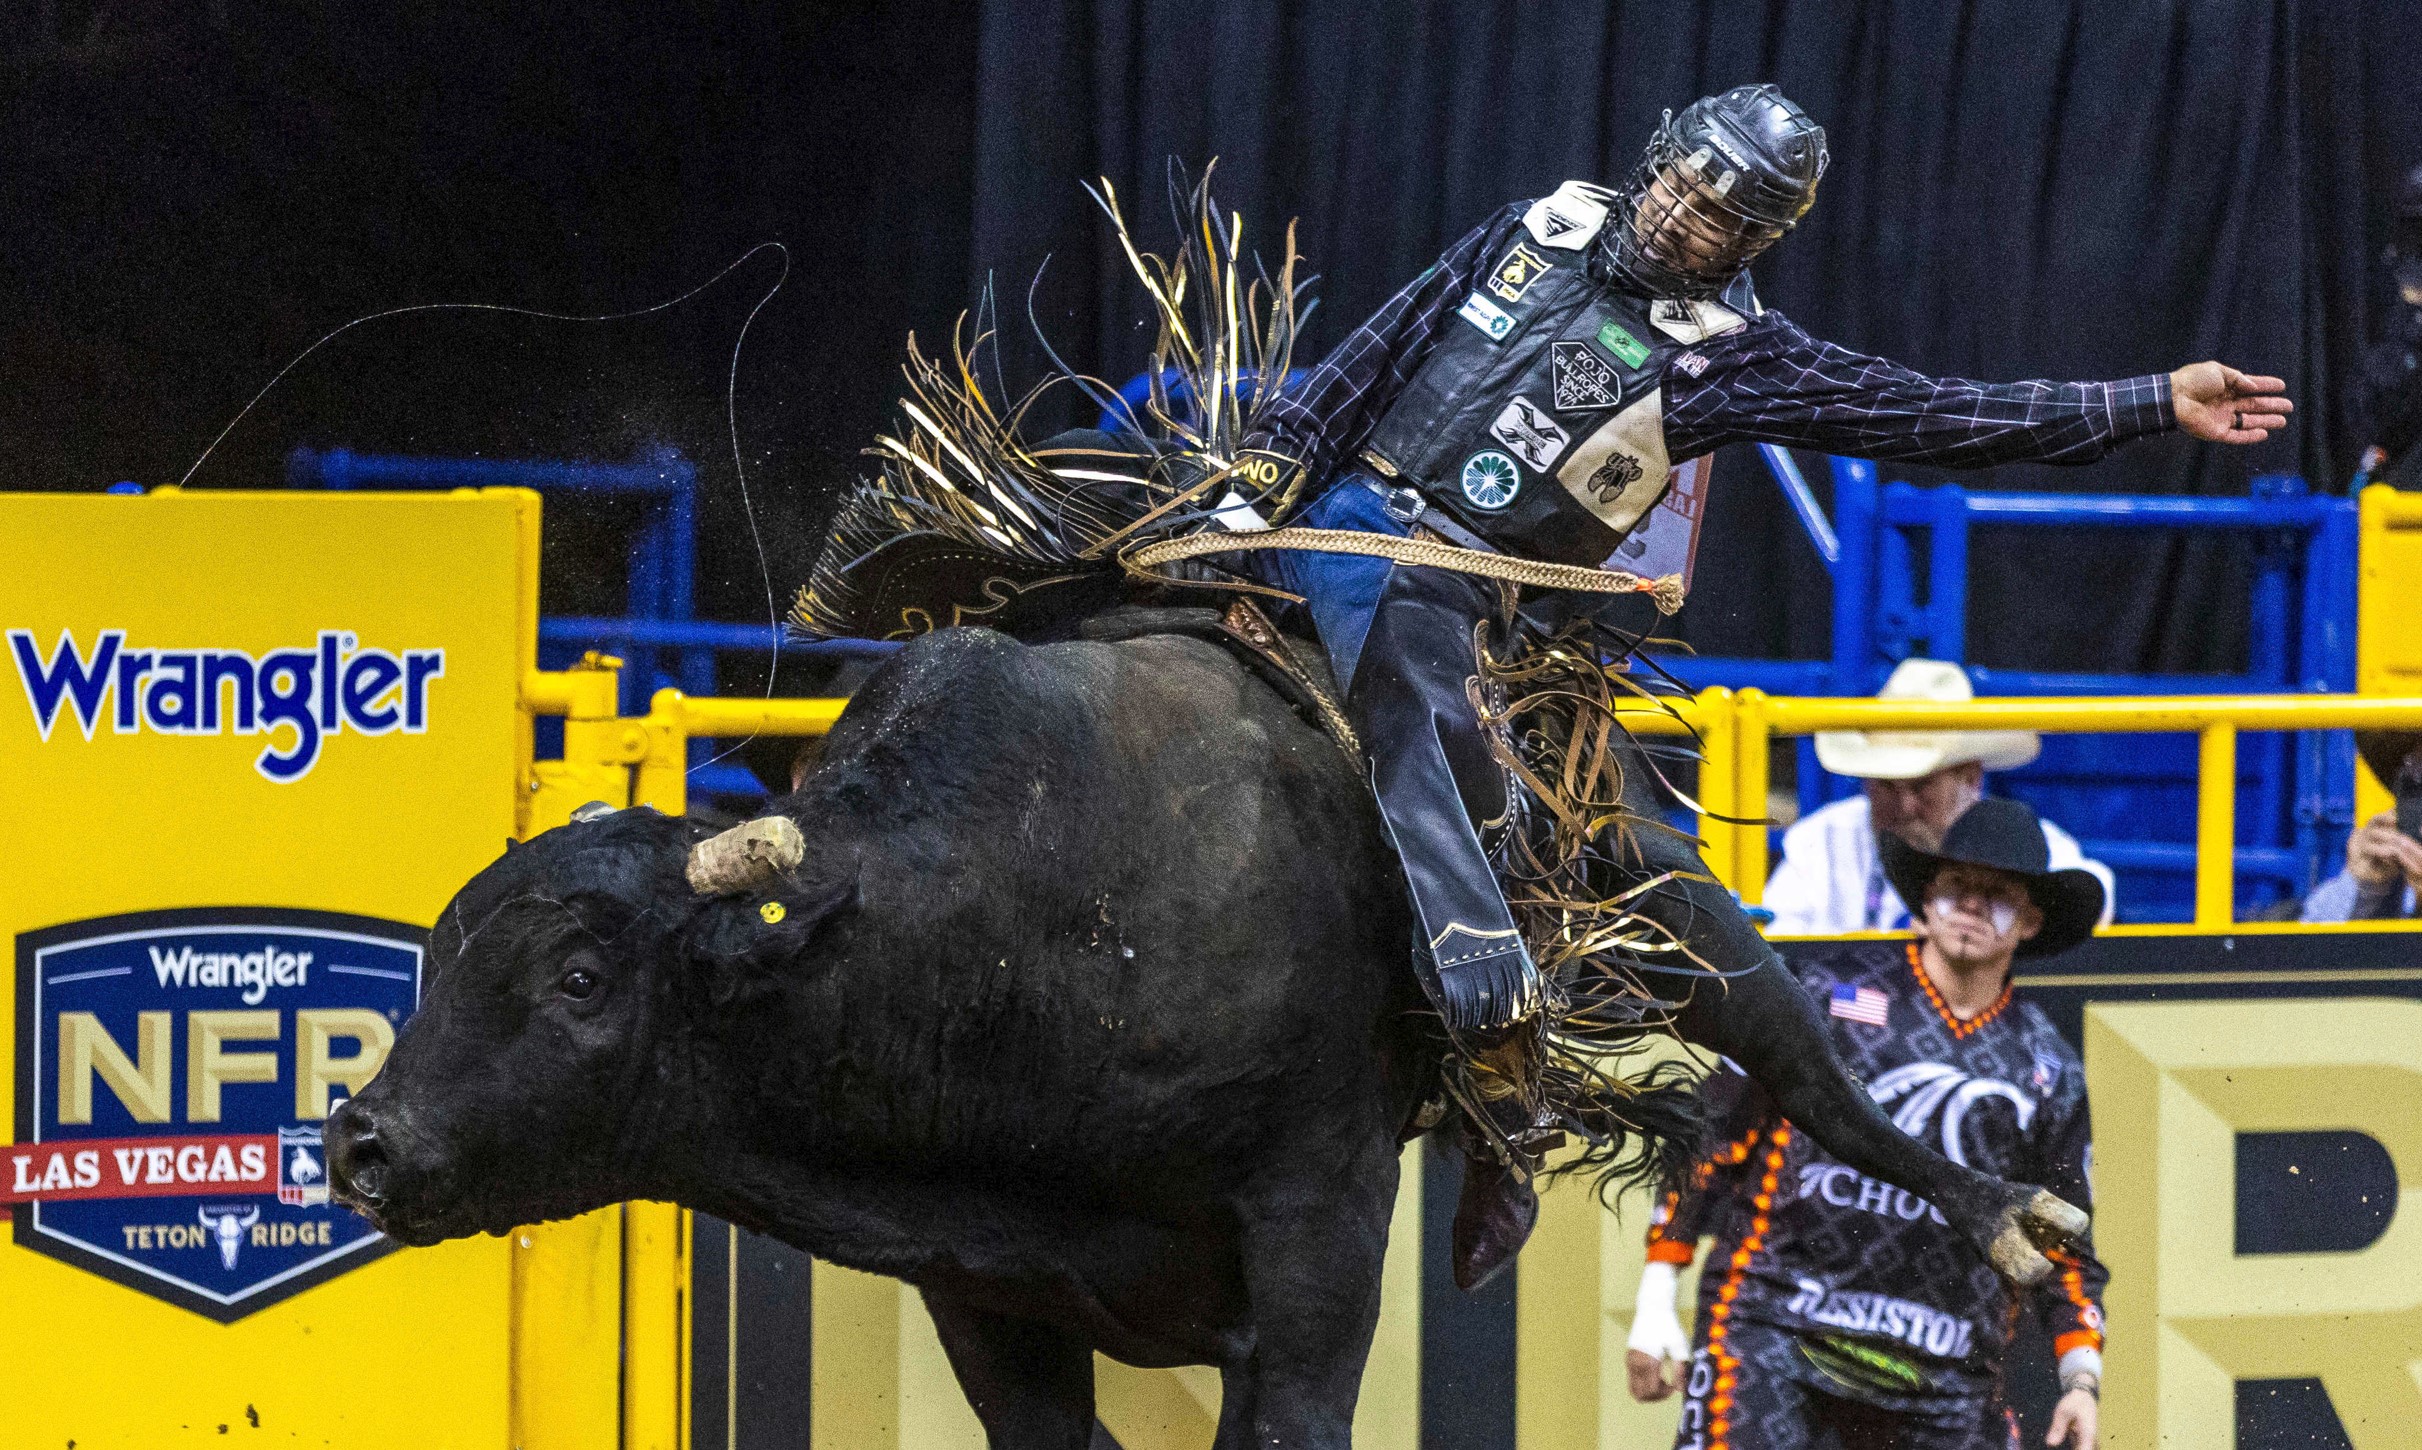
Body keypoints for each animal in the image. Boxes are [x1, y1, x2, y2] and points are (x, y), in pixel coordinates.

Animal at [331, 624, 2092, 1450]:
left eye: (578, 975)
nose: (360, 1140)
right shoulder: (977, 1284)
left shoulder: (1317, 1223)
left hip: (1659, 897)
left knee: (1799, 1064)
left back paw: (2010, 1218)